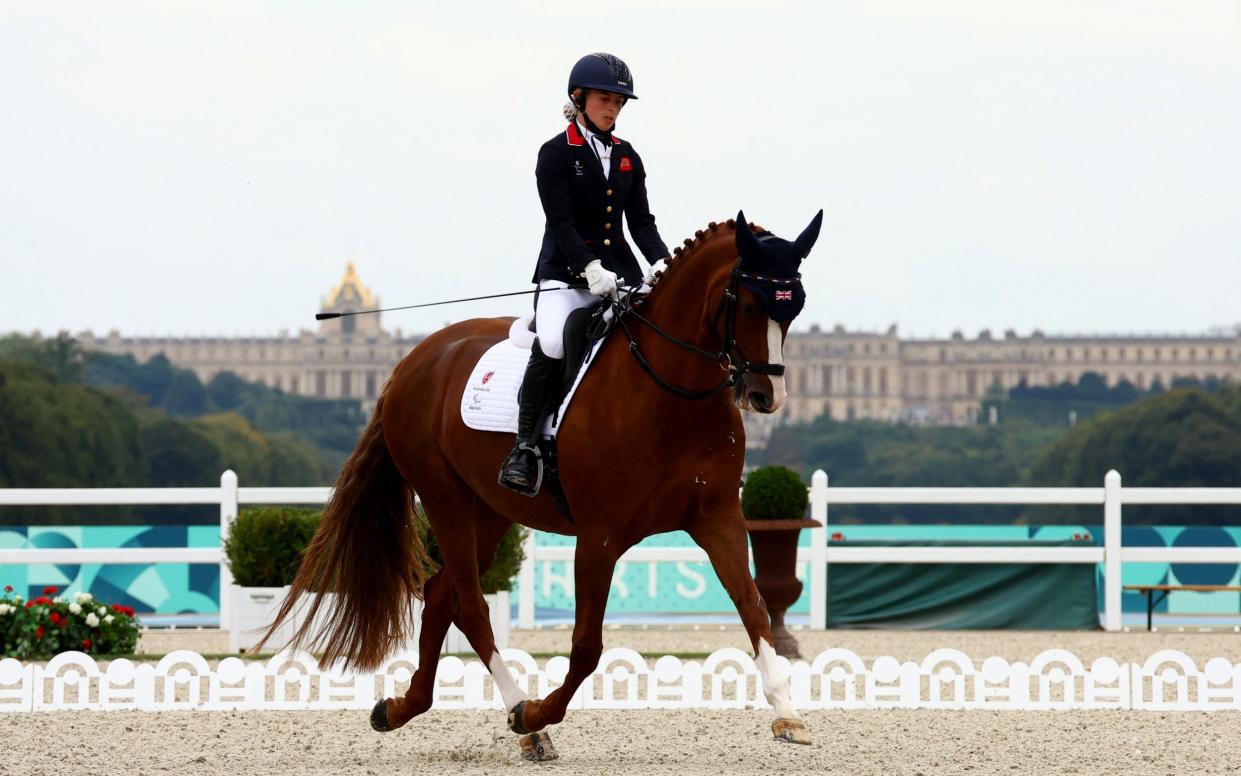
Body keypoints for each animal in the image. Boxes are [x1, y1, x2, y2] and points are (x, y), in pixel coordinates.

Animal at [261, 209, 824, 749]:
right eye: (748, 305)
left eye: (794, 306)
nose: (766, 396)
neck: (672, 396)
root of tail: (412, 361)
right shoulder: (598, 536)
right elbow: (587, 645)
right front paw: (536, 712)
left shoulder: (718, 518)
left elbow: (753, 608)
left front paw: (789, 717)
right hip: (444, 497)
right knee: (469, 603)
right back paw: (522, 717)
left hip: (489, 510)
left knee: (442, 594)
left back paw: (404, 709)